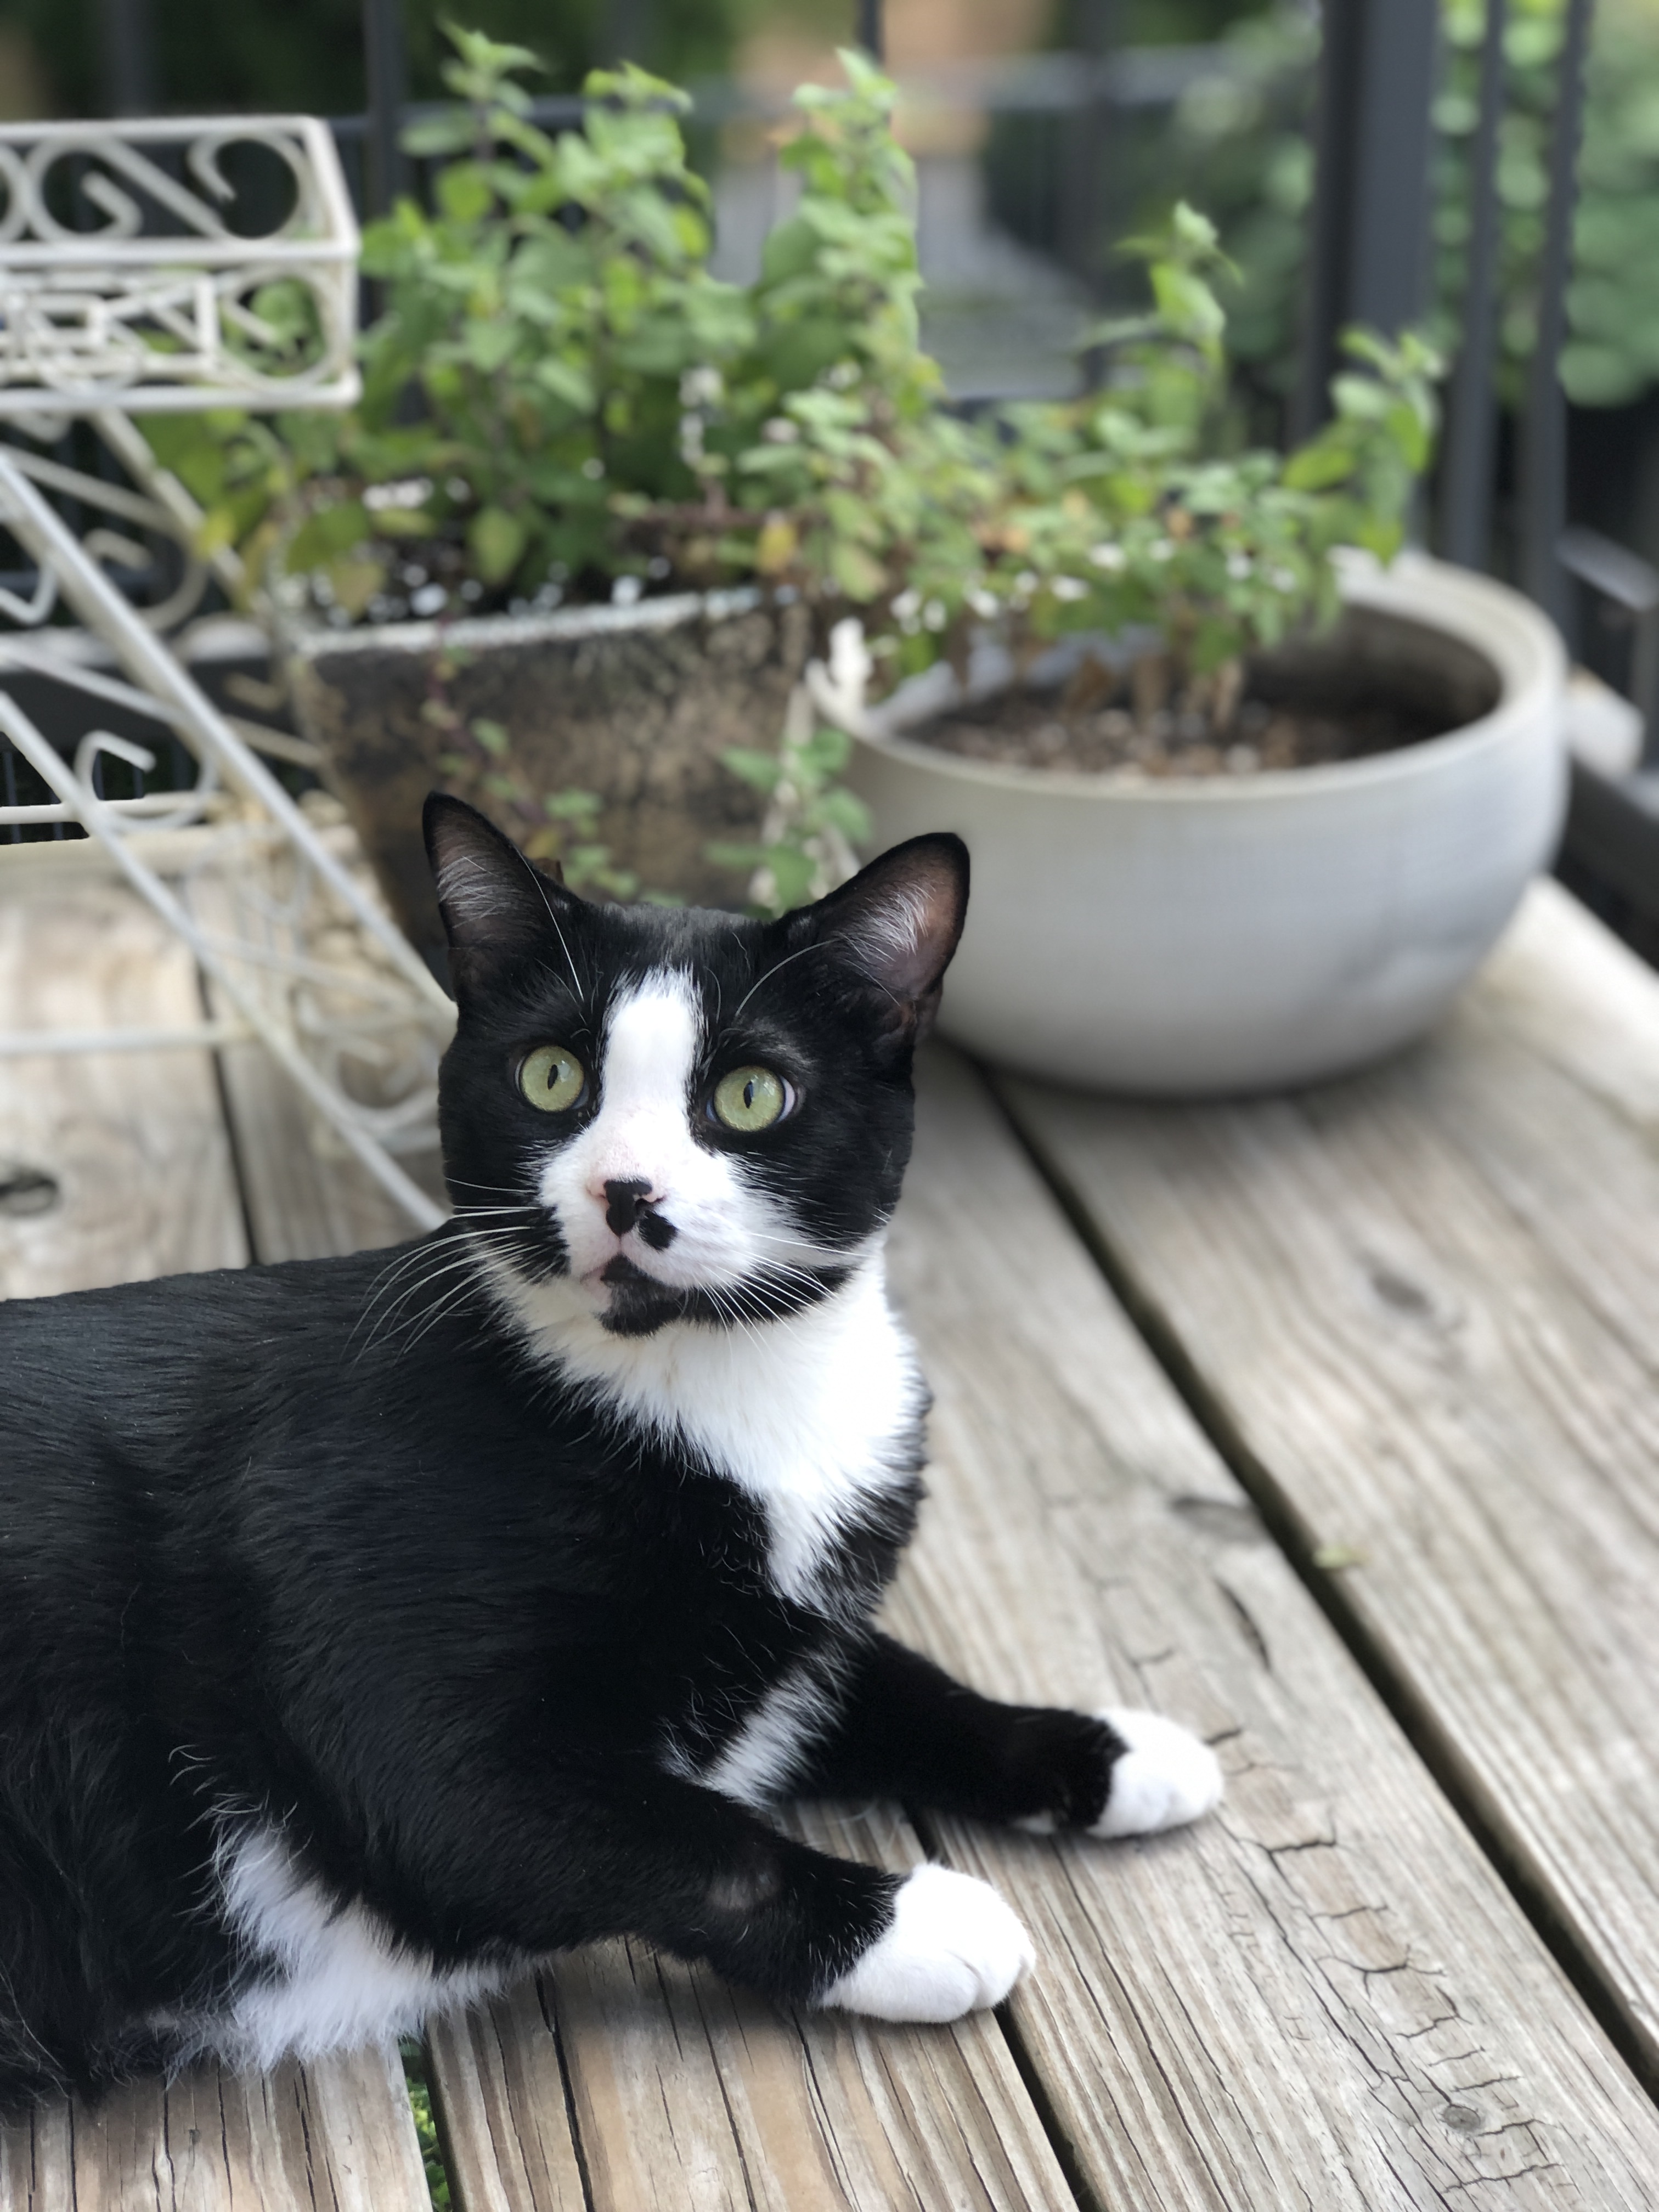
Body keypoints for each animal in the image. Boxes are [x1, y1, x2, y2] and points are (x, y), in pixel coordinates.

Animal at [0, 796, 1221, 2106]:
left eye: (751, 1095)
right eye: (552, 1077)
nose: (625, 1191)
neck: (715, 1385)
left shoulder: (787, 1634)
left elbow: (900, 1683)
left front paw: (1114, 1750)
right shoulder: (407, 1720)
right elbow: (688, 1837)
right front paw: (915, 1924)